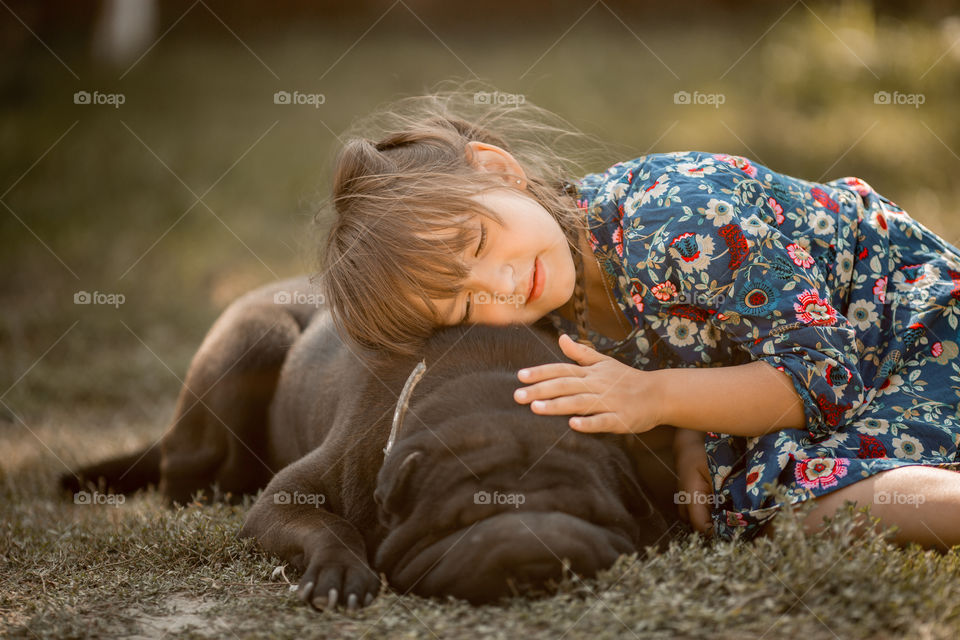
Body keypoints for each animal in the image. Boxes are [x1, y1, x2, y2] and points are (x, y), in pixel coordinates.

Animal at [60, 276, 680, 608]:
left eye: (594, 516)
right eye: (457, 523)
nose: (535, 554)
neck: (492, 385)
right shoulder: (288, 497)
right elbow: (327, 526)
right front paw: (339, 571)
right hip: (253, 338)